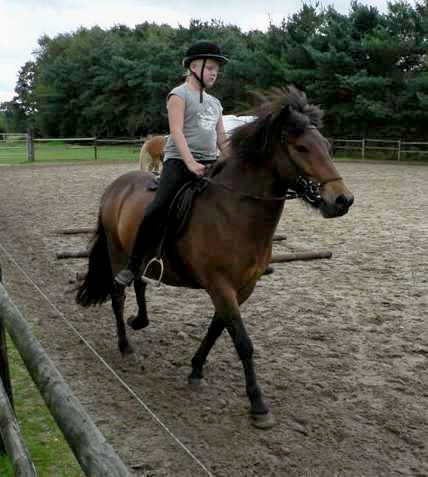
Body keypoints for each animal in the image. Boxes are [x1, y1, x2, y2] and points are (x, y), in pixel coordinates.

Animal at [77, 86, 354, 428]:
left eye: (327, 147)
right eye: (301, 148)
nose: (342, 200)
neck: (234, 212)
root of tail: (116, 186)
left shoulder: (241, 288)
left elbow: (218, 329)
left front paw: (196, 369)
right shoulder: (220, 285)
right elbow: (243, 342)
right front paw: (258, 404)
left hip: (139, 254)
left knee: (140, 283)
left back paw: (140, 321)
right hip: (117, 251)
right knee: (119, 294)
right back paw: (126, 347)